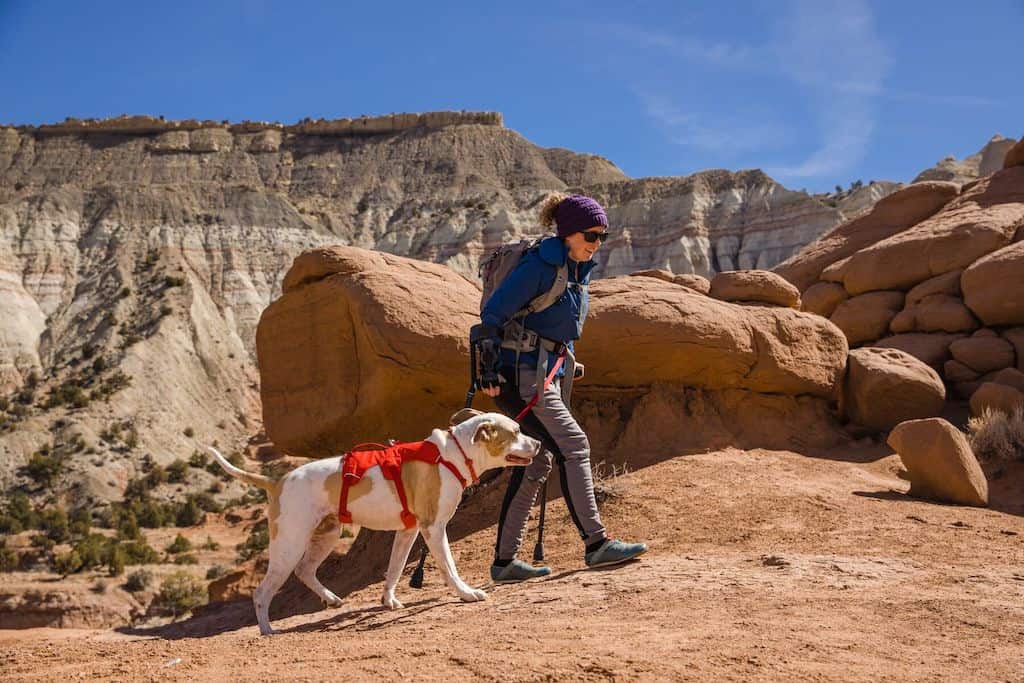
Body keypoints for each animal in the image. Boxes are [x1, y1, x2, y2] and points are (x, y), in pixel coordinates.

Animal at [209, 409, 544, 638]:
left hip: (326, 534)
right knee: (262, 591)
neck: (452, 455)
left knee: (305, 570)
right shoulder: (433, 528)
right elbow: (449, 567)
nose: (539, 443)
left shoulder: (408, 530)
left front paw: (389, 600)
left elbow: (395, 568)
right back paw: (267, 629)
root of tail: (277, 481)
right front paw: (466, 593)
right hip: (289, 543)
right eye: (515, 431)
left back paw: (331, 599)